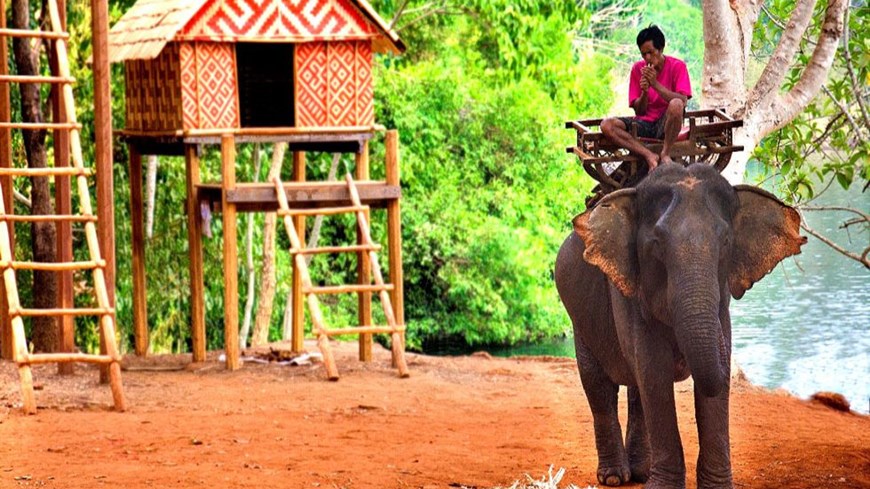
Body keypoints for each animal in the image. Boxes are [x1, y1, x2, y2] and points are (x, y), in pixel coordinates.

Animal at [556, 164, 808, 488]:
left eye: (726, 242)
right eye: (657, 244)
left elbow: (712, 382)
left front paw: (716, 486)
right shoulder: (629, 296)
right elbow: (654, 374)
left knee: (636, 390)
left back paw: (640, 472)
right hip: (579, 319)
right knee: (599, 386)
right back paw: (614, 477)